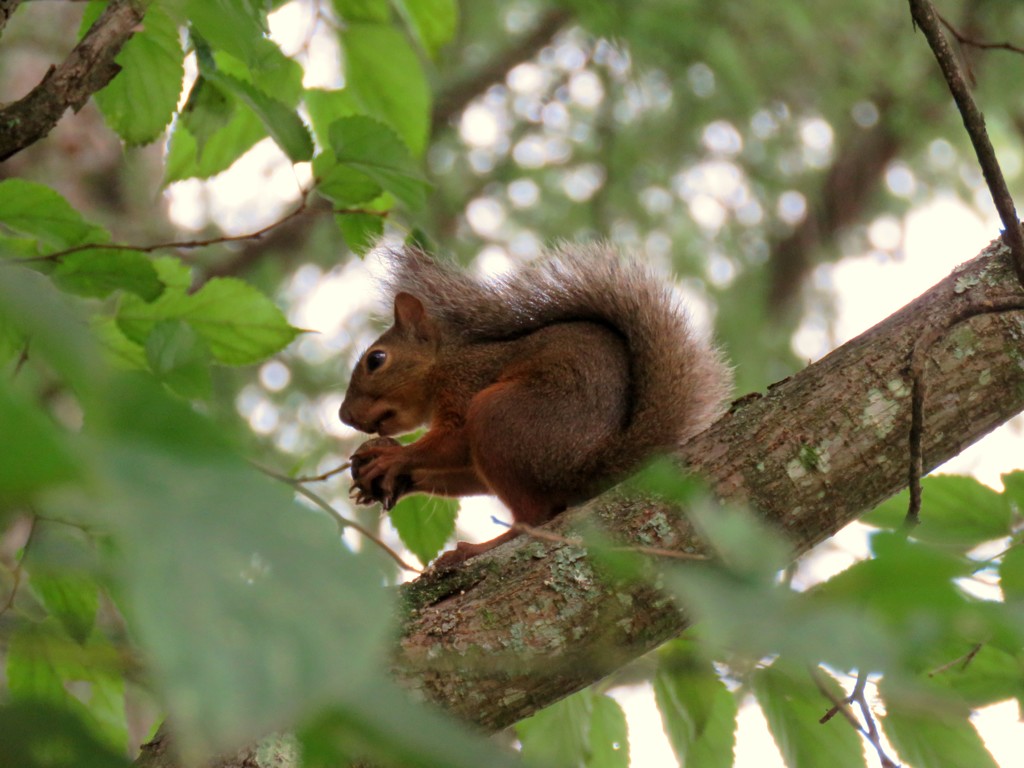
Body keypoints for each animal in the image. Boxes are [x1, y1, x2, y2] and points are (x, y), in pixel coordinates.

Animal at [339, 243, 733, 569]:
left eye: (376, 359)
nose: (344, 416)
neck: (444, 365)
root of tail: (587, 464)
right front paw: (395, 479)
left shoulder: (467, 388)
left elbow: (451, 442)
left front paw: (393, 458)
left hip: (498, 415)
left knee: (534, 518)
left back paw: (477, 549)